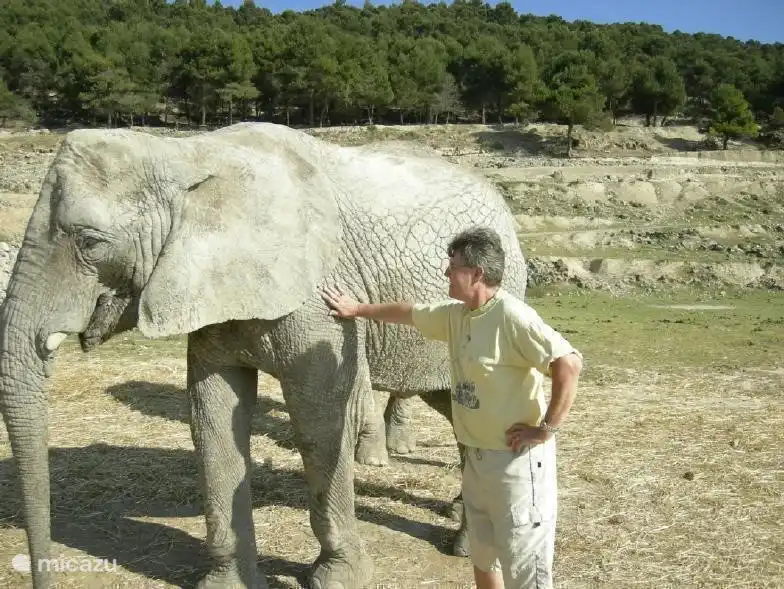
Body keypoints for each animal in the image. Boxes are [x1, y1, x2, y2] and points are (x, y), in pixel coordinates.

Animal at [0, 122, 527, 589]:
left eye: (89, 242)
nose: (41, 577)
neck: (185, 155)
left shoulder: (316, 295)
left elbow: (318, 419)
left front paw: (337, 579)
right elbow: (212, 415)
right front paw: (225, 584)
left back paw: (467, 545)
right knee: (454, 407)